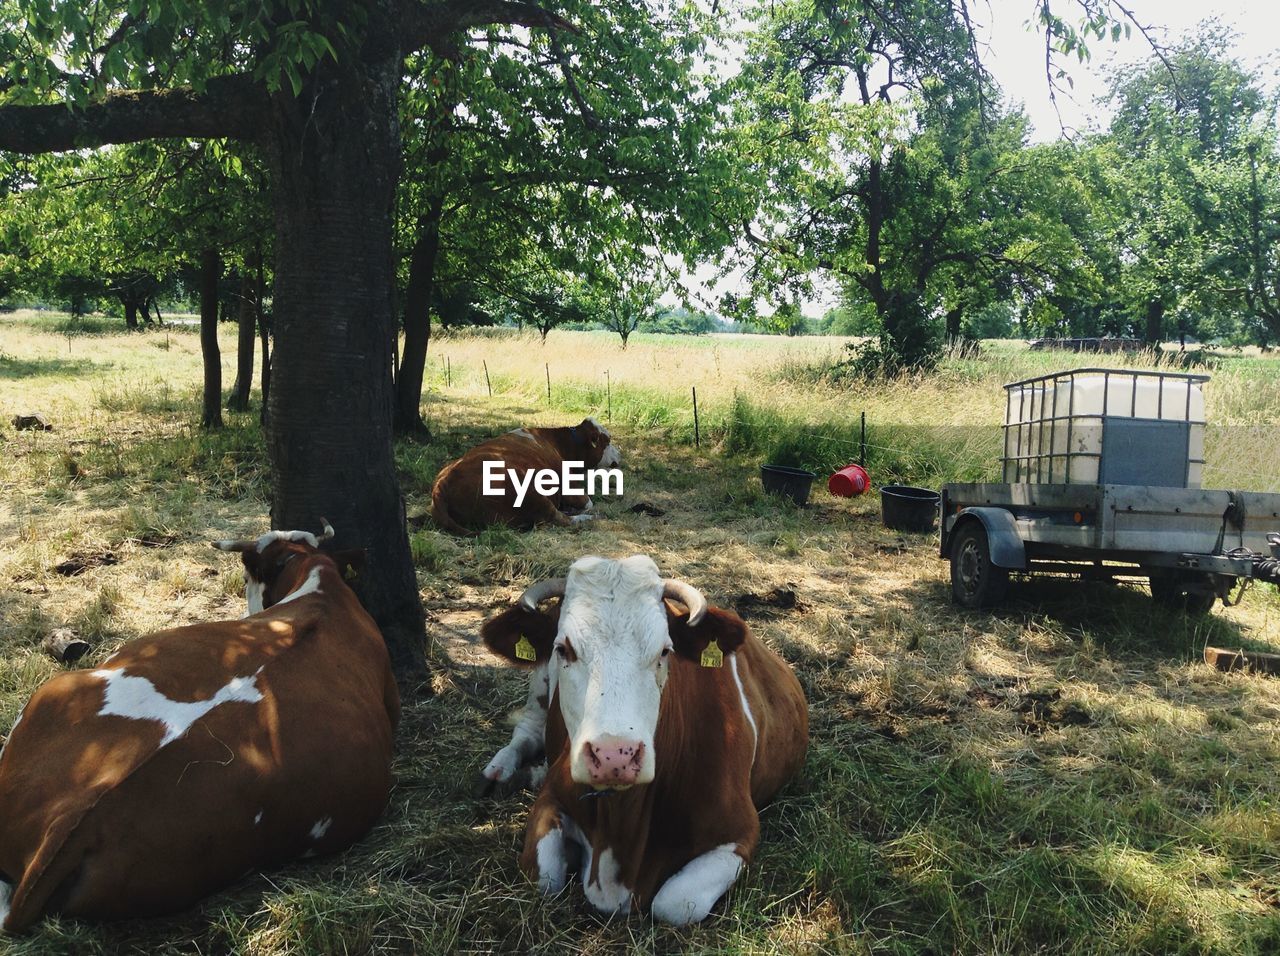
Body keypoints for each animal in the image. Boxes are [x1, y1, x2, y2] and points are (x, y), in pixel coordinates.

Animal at [432, 419, 622, 537]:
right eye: (608, 440)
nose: (619, 454)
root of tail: (442, 484)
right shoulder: (566, 484)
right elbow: (588, 502)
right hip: (531, 493)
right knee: (557, 519)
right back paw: (587, 518)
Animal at [481, 557, 808, 921]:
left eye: (665, 651)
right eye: (562, 649)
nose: (614, 757)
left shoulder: (740, 832)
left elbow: (675, 903)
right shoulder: (553, 797)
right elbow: (544, 879)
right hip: (539, 687)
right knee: (526, 731)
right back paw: (503, 770)